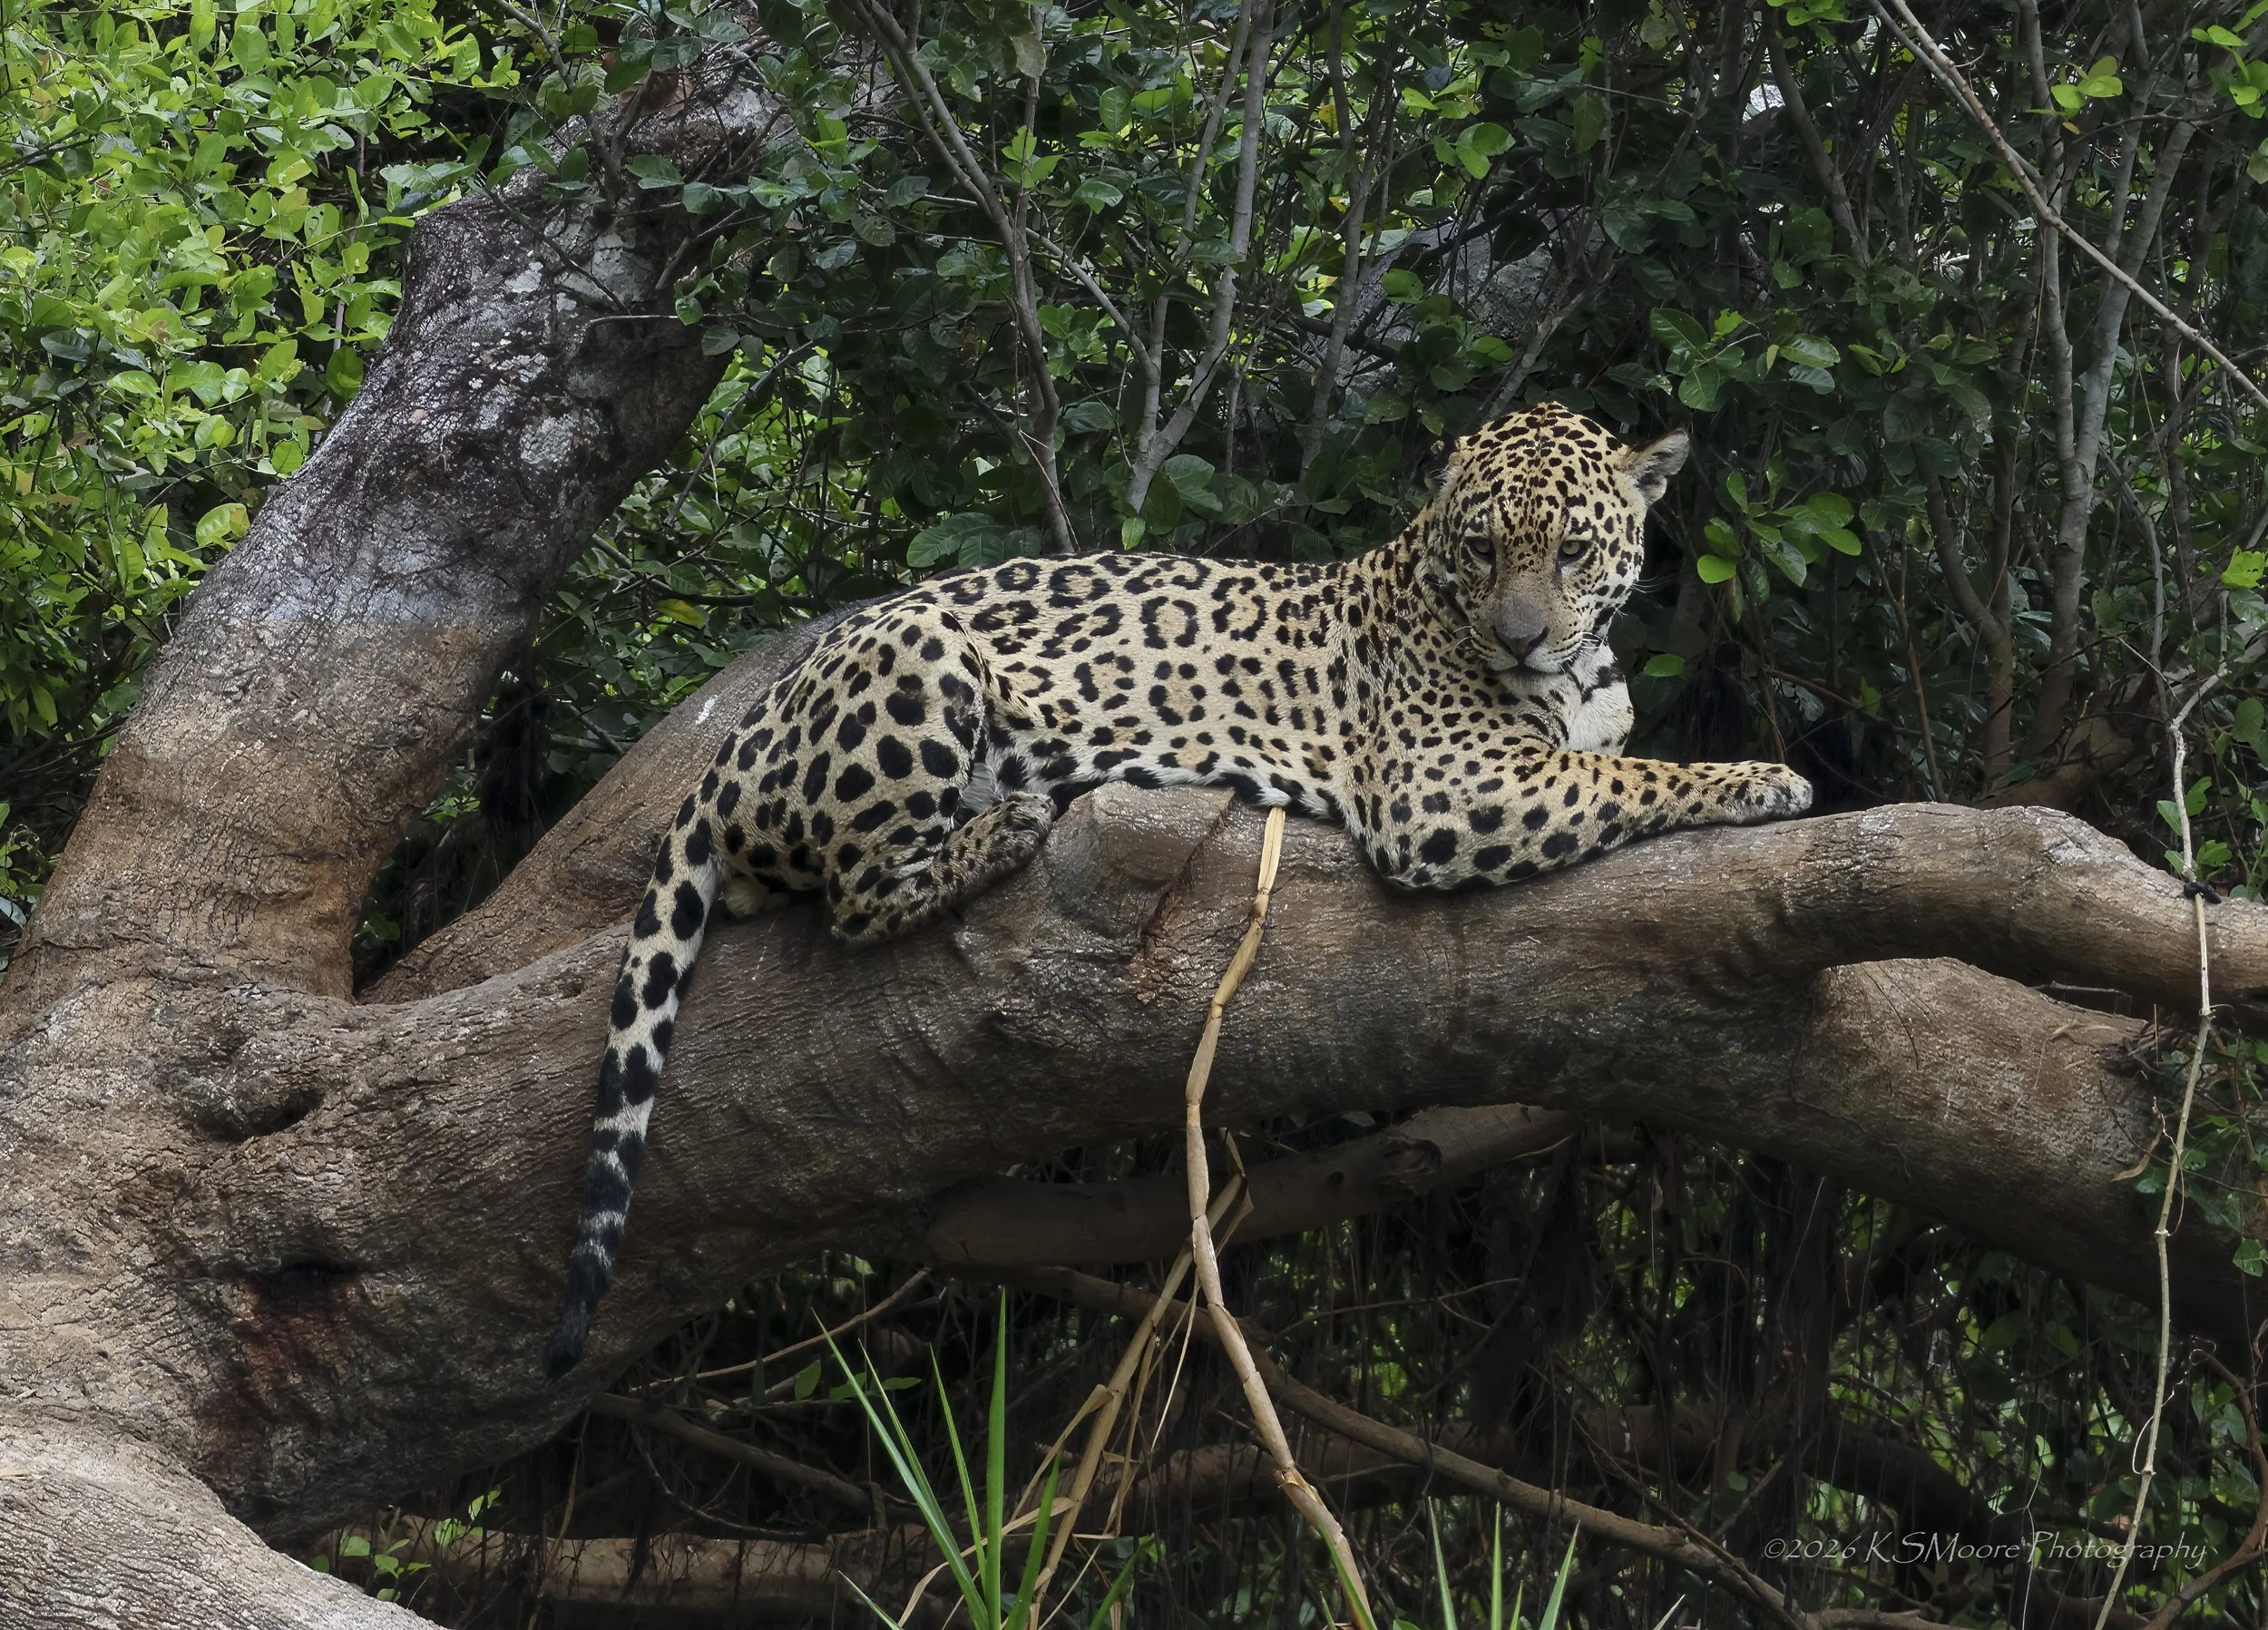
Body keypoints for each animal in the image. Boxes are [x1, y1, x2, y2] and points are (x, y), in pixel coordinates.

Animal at [544, 402, 1812, 1374]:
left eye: (1571, 553)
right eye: (1486, 549)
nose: (1521, 639)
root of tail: (732, 742)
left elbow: (1611, 752)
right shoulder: (1445, 788)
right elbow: (1623, 773)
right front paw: (1762, 777)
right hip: (920, 655)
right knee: (853, 892)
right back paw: (1005, 827)